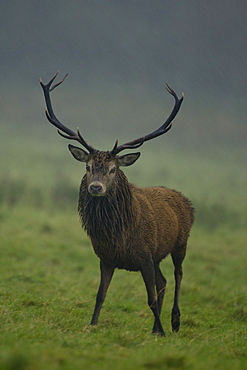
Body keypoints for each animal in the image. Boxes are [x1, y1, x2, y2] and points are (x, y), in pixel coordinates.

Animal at [40, 71, 195, 336]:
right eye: (88, 167)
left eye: (113, 169)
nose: (95, 187)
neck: (119, 235)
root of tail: (185, 201)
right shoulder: (107, 258)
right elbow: (100, 295)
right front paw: (92, 324)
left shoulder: (144, 256)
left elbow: (150, 299)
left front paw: (162, 330)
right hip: (158, 256)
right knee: (163, 281)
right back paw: (156, 327)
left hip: (180, 242)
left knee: (178, 274)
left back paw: (174, 322)